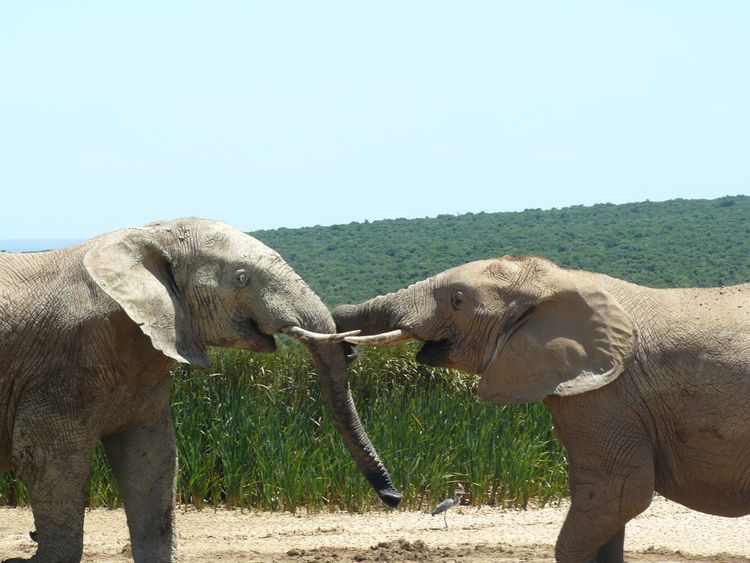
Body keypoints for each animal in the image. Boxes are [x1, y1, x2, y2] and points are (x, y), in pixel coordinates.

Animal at [0, 217, 400, 562]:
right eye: (242, 278)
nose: (393, 496)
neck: (149, 236)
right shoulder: (59, 369)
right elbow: (47, 460)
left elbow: (153, 462)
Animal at [332, 255, 750, 563]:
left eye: (457, 300)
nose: (393, 498)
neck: (560, 279)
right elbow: (604, 500)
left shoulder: (610, 392)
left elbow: (619, 492)